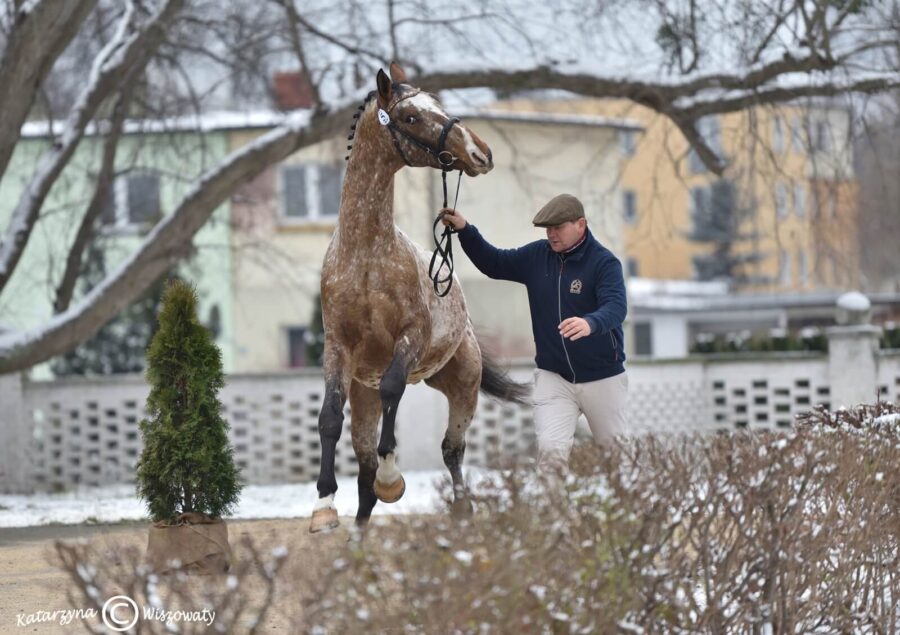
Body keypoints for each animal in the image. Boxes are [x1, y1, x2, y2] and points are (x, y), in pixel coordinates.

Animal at [310, 62, 524, 536]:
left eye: (438, 105)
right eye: (410, 116)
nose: (481, 152)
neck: (366, 256)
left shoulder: (411, 338)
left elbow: (394, 389)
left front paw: (394, 480)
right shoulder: (337, 348)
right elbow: (329, 417)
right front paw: (323, 506)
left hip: (462, 384)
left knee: (451, 449)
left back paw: (460, 510)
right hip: (365, 396)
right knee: (365, 468)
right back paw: (359, 532)